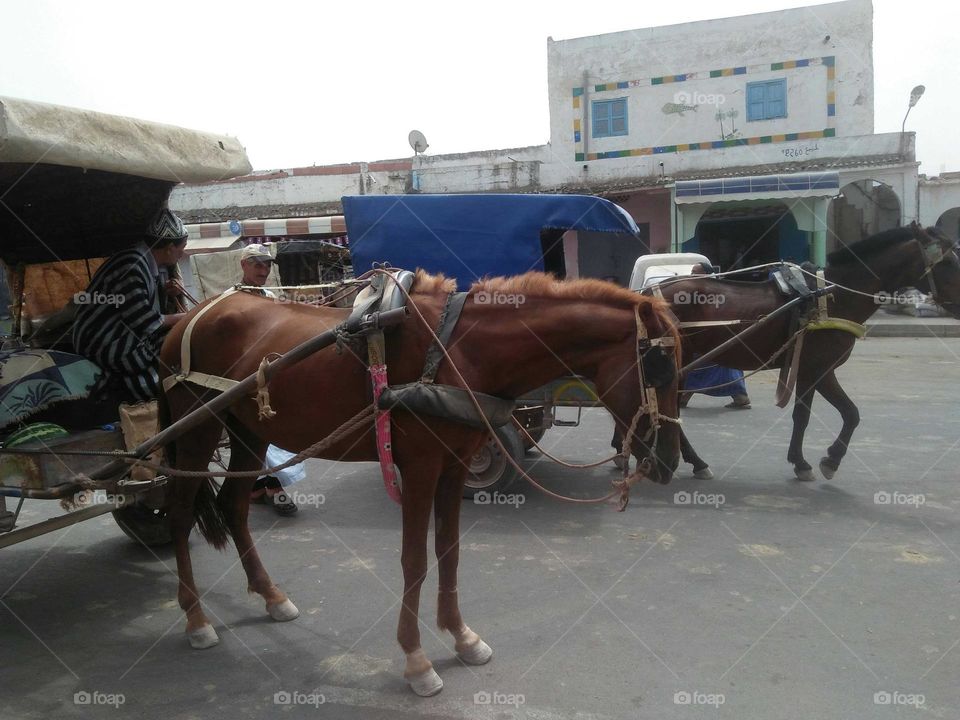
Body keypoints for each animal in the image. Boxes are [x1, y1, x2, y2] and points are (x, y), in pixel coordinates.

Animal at [159, 268, 684, 696]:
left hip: (247, 430)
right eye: (658, 368)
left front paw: (462, 637)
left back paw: (270, 595)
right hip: (196, 430)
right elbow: (414, 561)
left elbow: (448, 552)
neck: (458, 350)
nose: (668, 461)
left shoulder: (455, 466)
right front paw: (416, 661)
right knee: (181, 513)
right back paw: (195, 617)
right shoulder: (419, 468)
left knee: (234, 507)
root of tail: (187, 317)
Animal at [624, 224, 960, 484]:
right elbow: (825, 414)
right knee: (670, 410)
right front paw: (820, 461)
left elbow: (835, 414)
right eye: (948, 262)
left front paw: (815, 460)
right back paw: (690, 461)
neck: (832, 295)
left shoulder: (816, 369)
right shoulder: (817, 367)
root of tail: (647, 295)